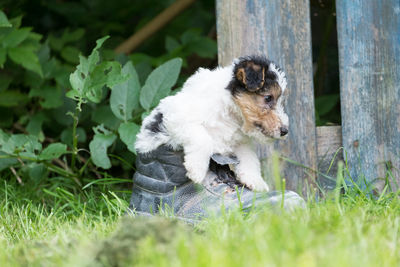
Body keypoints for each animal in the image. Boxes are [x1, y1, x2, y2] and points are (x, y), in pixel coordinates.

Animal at [134, 55, 288, 192]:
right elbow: (203, 138)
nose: (285, 131)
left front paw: (256, 181)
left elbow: (249, 158)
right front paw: (196, 169)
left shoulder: (240, 142)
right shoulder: (177, 117)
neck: (229, 113)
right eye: (268, 98)